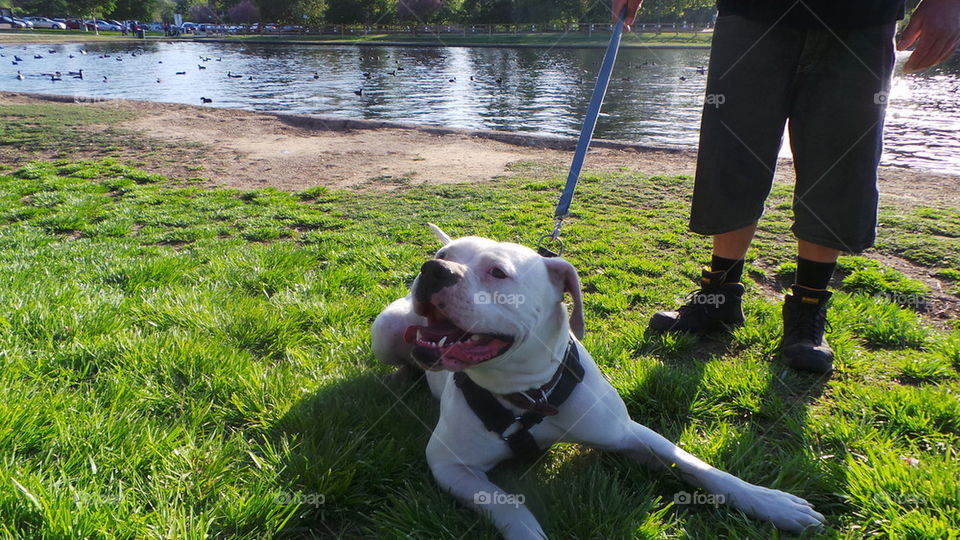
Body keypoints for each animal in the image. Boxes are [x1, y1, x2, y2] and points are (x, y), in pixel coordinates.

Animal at [372, 225, 820, 540]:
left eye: (497, 272)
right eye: (443, 256)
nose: (433, 268)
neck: (532, 394)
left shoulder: (628, 433)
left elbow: (701, 468)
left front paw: (773, 503)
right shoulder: (449, 465)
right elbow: (506, 502)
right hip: (385, 333)